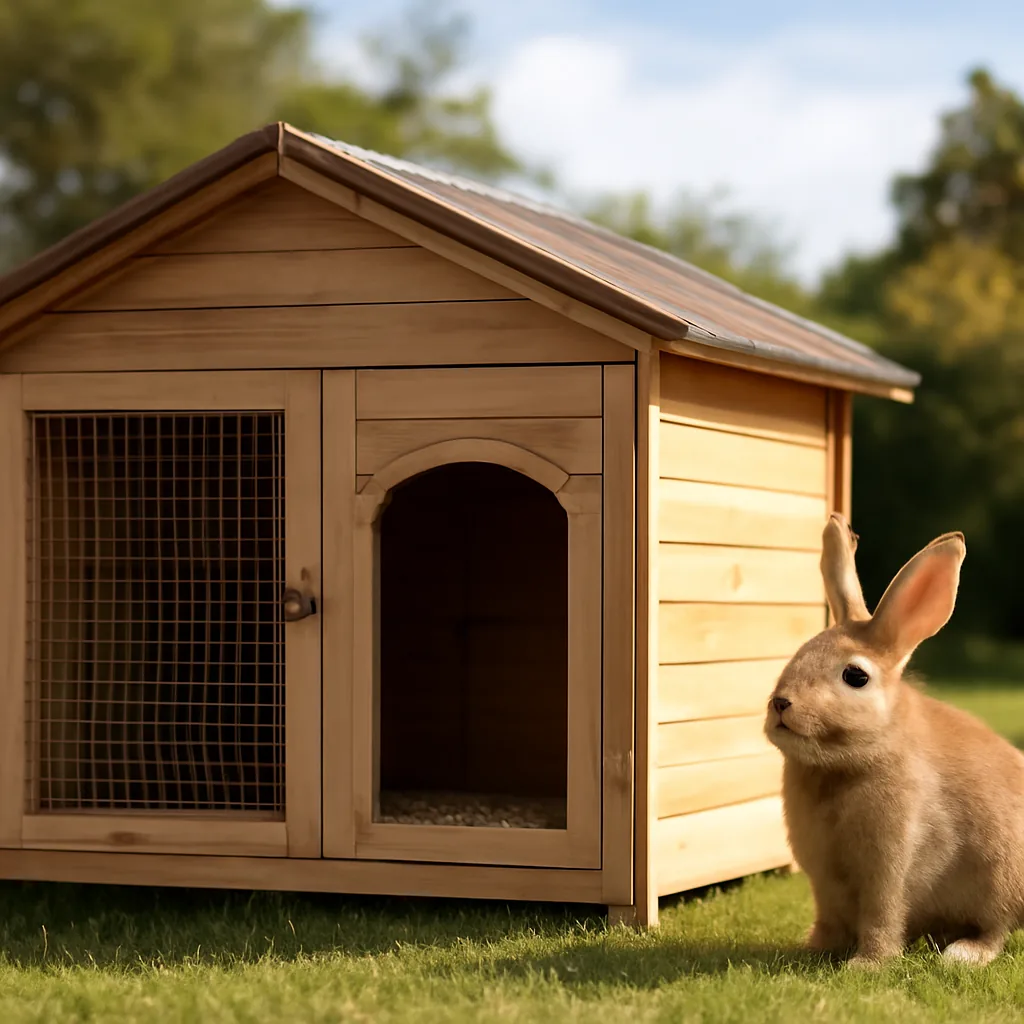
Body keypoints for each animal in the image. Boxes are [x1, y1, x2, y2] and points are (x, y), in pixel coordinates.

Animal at [765, 512, 1024, 968]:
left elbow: (882, 913)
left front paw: (866, 966)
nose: (781, 703)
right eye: (798, 653)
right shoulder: (824, 880)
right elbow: (829, 916)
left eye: (855, 676)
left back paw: (962, 954)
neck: (841, 766)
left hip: (1002, 878)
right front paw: (816, 948)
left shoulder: (890, 864)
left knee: (995, 931)